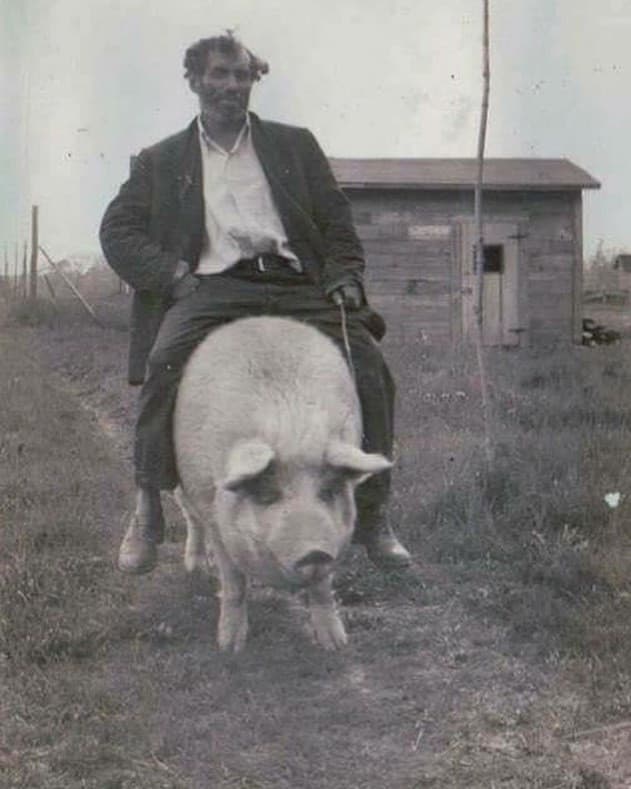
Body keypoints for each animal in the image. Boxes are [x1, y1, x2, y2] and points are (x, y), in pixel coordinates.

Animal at [173, 316, 390, 652]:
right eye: (267, 496)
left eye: (328, 492)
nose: (314, 552)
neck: (291, 430)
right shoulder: (214, 516)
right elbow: (234, 582)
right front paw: (230, 647)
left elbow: (322, 587)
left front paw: (335, 645)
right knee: (189, 517)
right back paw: (195, 568)